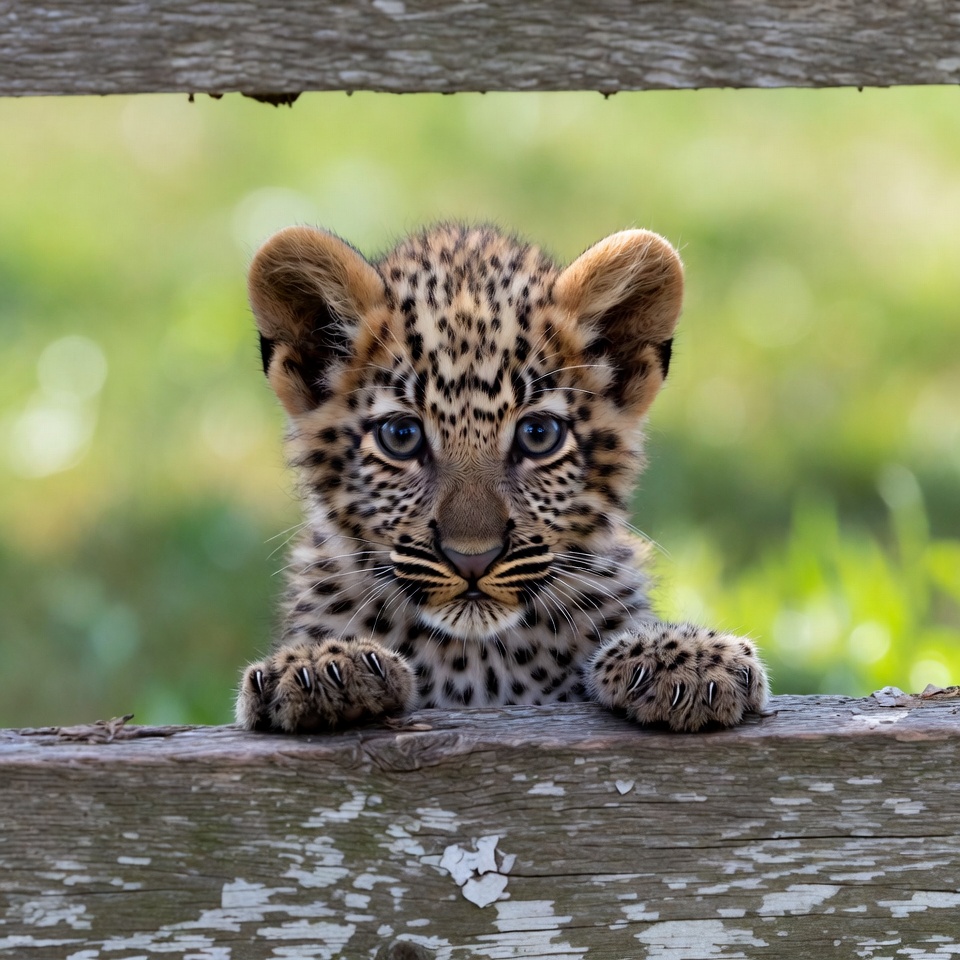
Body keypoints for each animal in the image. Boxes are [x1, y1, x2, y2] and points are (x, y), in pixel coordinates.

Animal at [234, 222, 768, 734]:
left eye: (538, 435)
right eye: (401, 436)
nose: (472, 559)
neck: (476, 660)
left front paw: (685, 660)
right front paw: (322, 665)